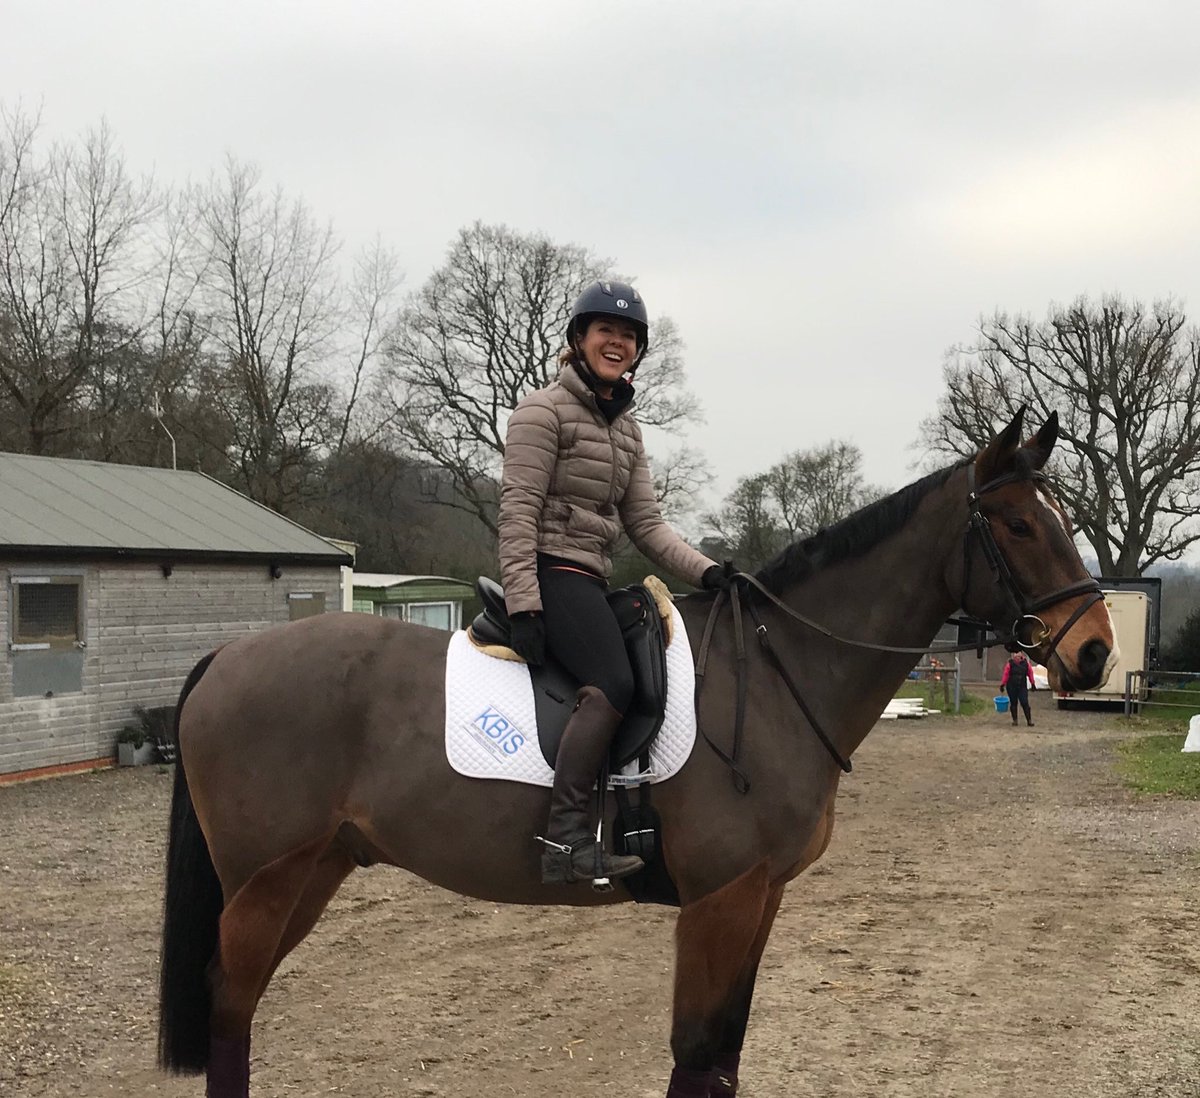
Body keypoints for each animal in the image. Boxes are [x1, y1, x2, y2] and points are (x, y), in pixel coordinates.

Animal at [157, 409, 1115, 1097]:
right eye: (1019, 525)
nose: (1095, 651)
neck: (776, 673)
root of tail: (228, 657)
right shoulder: (721, 902)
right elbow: (695, 1055)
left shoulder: (760, 900)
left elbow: (723, 1057)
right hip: (266, 881)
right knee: (230, 1009)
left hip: (310, 870)